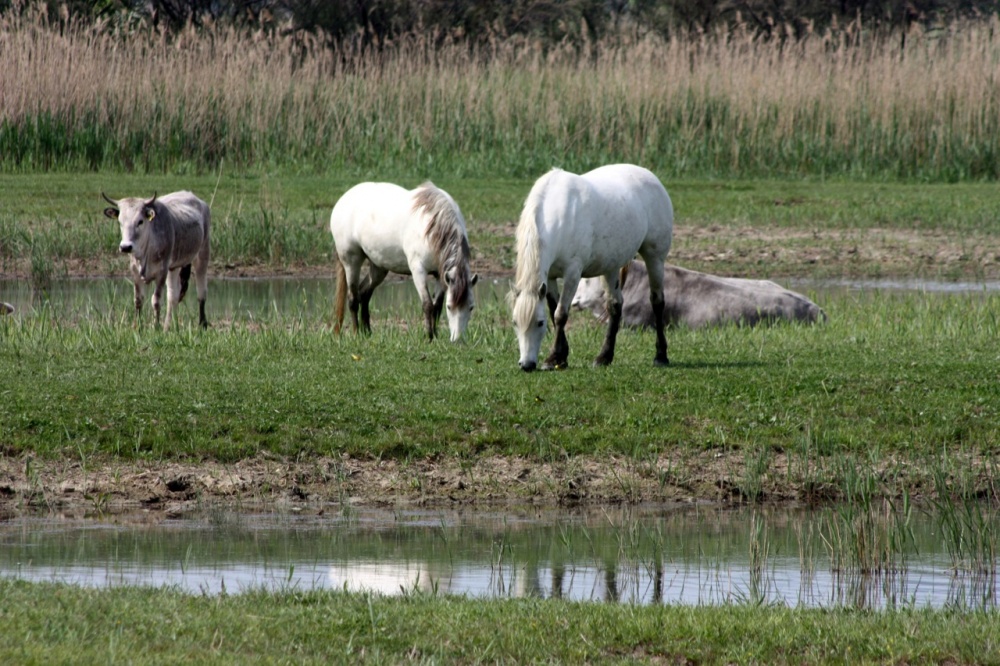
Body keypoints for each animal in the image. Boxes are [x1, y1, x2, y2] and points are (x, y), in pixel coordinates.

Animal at [102, 189, 210, 330]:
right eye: (120, 222)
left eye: (140, 221)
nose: (125, 247)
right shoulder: (135, 272)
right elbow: (138, 300)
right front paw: (137, 327)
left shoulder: (161, 272)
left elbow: (156, 300)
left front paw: (156, 326)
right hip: (174, 267)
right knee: (173, 296)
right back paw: (169, 326)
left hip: (202, 254)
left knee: (201, 292)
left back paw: (202, 323)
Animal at [330, 180, 478, 340]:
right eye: (449, 307)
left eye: (471, 307)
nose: (458, 340)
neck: (432, 226)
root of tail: (342, 200)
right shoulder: (418, 271)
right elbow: (427, 305)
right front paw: (429, 337)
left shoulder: (440, 274)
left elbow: (437, 306)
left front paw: (435, 336)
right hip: (351, 261)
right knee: (353, 298)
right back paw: (357, 333)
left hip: (378, 267)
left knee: (364, 293)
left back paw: (367, 332)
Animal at [512, 161, 676, 368]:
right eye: (515, 322)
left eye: (540, 323)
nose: (526, 365)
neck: (557, 215)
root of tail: (652, 178)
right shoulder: (549, 277)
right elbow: (553, 310)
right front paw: (561, 357)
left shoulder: (572, 274)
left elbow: (560, 314)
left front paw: (554, 357)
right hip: (611, 267)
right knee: (615, 306)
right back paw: (604, 356)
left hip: (655, 258)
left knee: (657, 301)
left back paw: (661, 355)